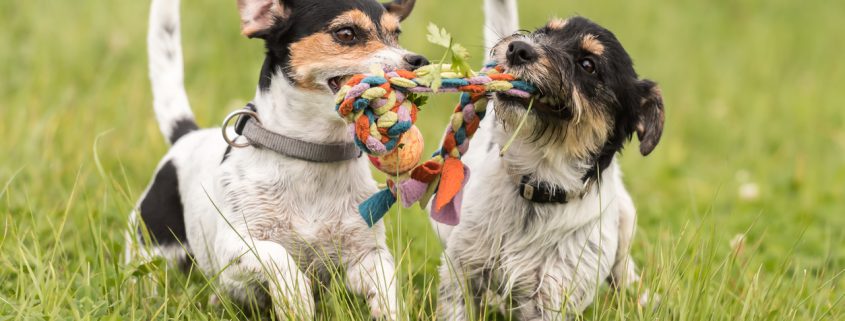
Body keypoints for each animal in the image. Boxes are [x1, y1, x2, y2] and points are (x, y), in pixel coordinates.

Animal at [126, 0, 428, 316]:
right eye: (346, 33)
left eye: (396, 33)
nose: (418, 61)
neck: (312, 153)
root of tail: (186, 137)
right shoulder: (233, 247)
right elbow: (279, 256)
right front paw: (297, 298)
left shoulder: (366, 252)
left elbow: (386, 286)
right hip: (150, 249)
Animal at [432, 0, 664, 318]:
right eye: (545, 32)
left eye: (588, 64)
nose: (518, 48)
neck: (538, 181)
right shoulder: (461, 271)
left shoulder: (552, 298)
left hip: (626, 217)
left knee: (623, 269)